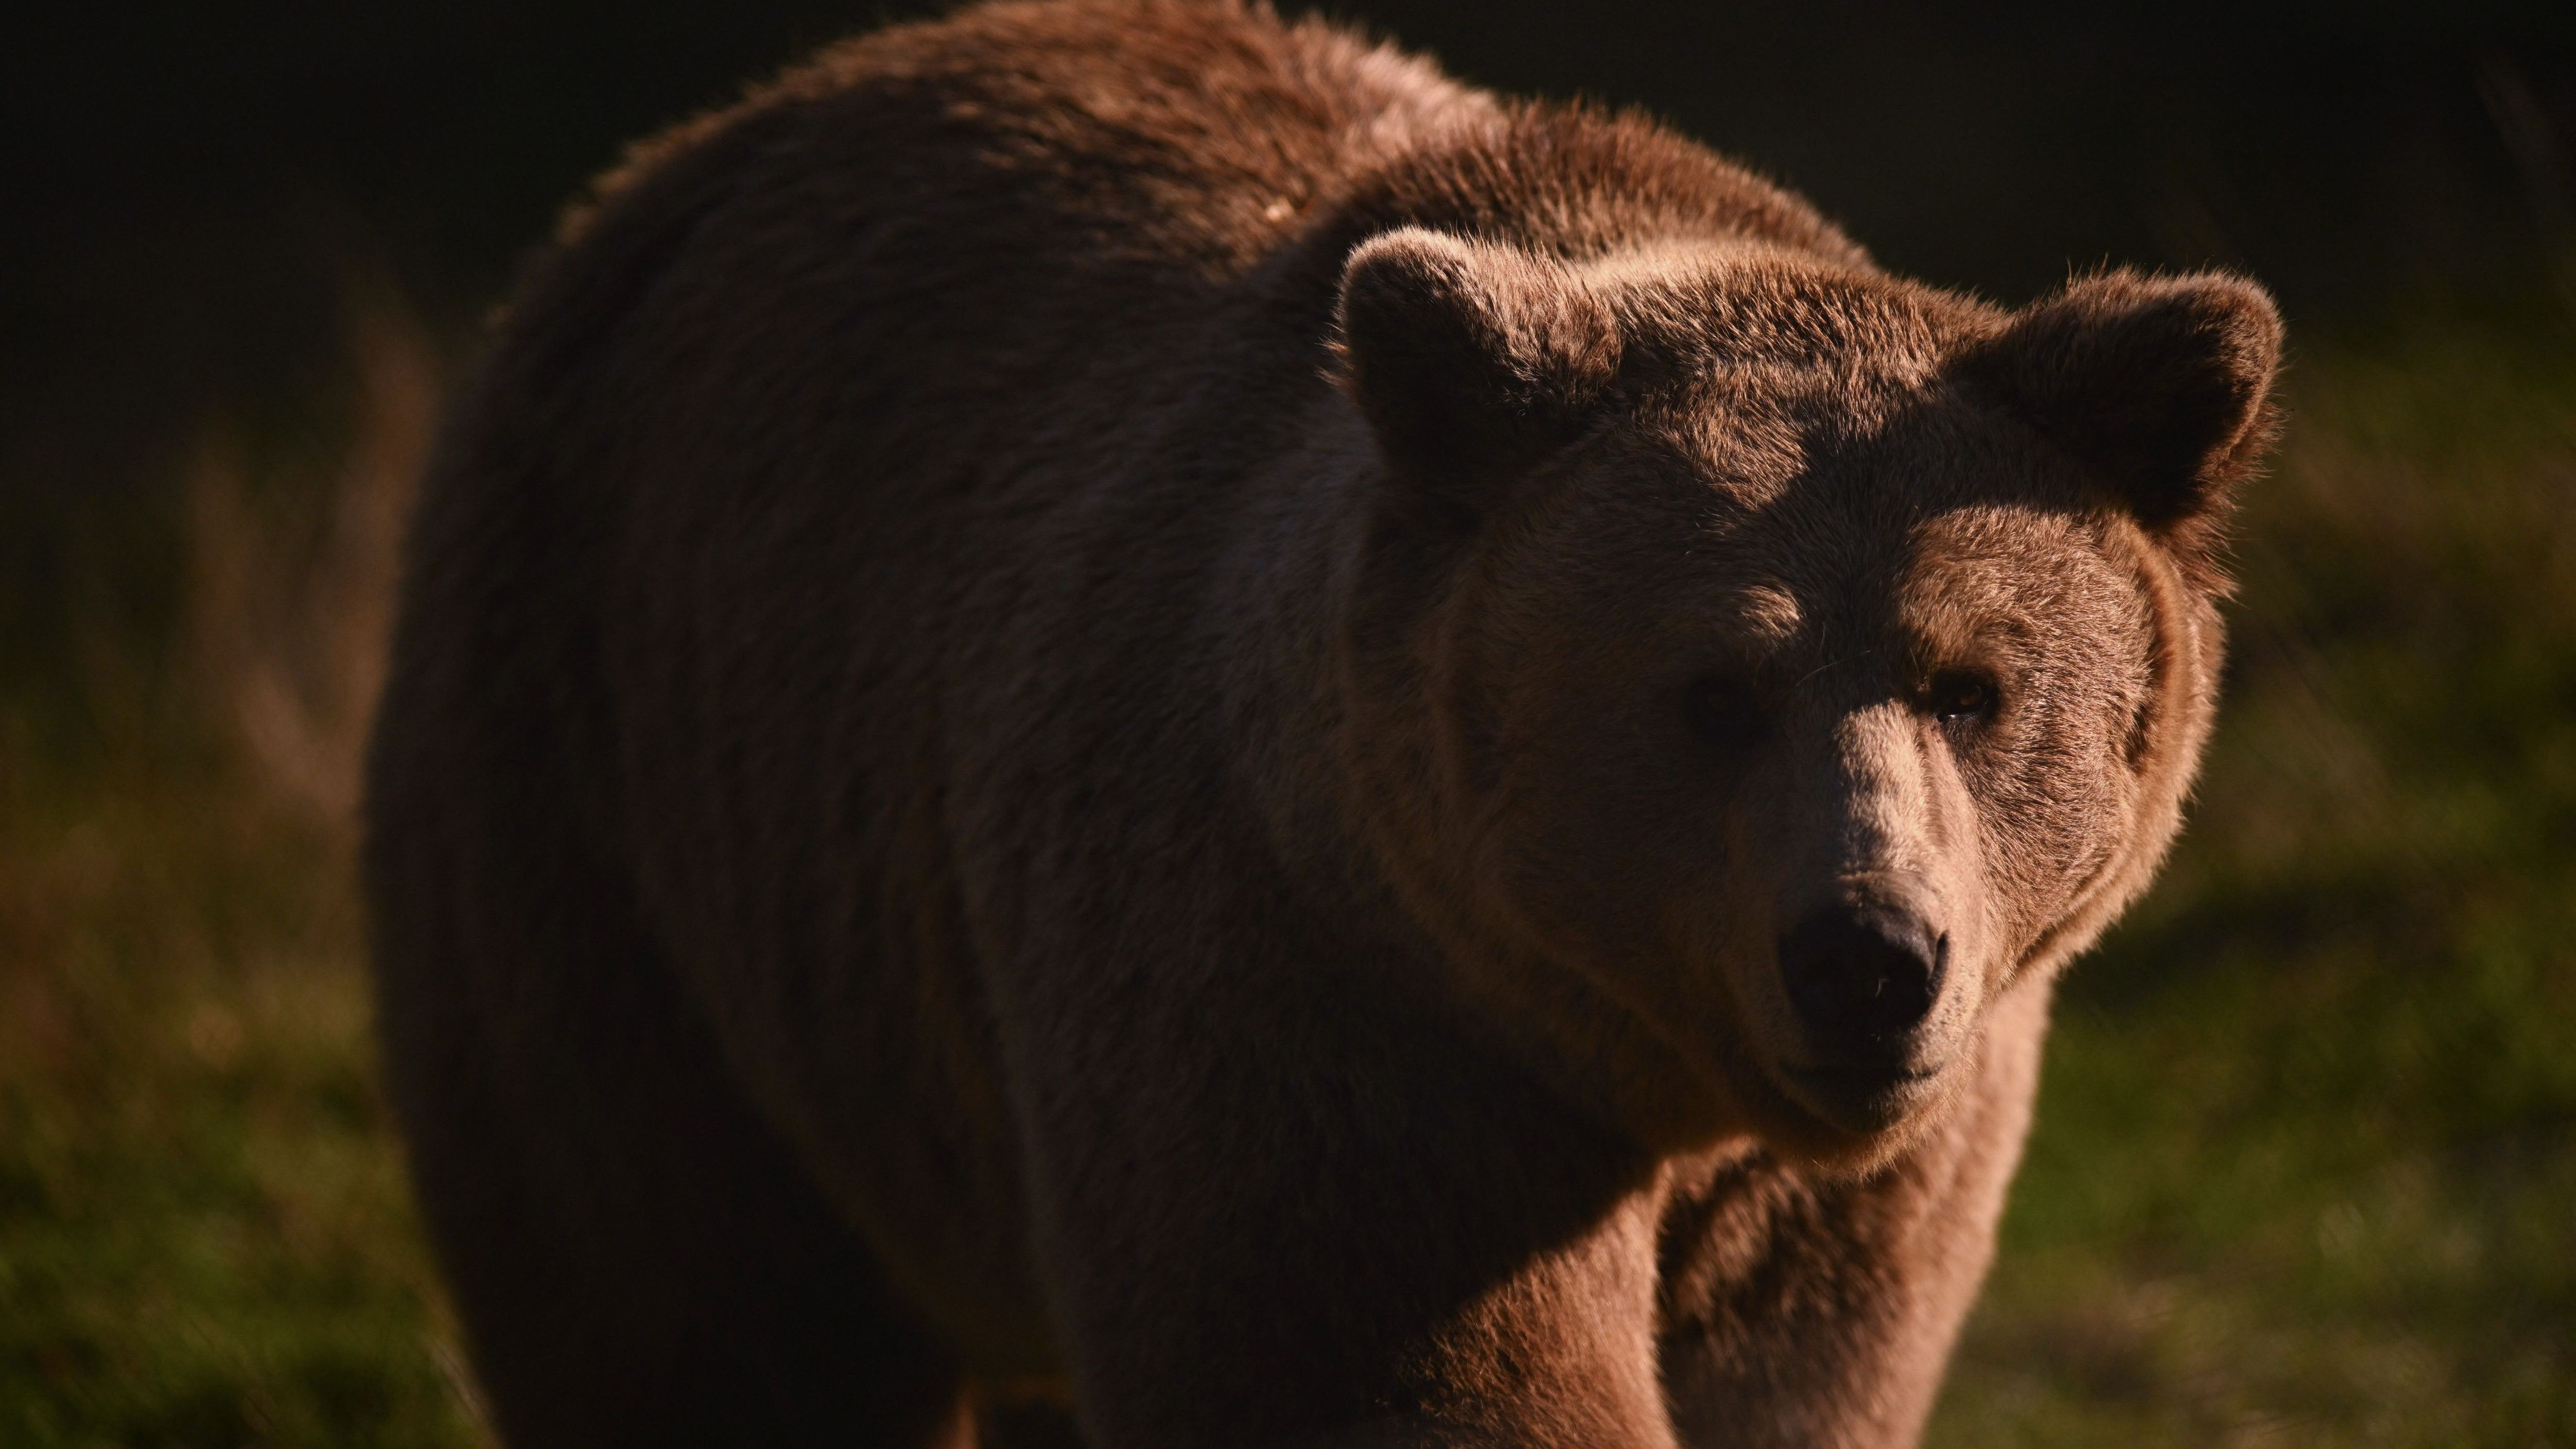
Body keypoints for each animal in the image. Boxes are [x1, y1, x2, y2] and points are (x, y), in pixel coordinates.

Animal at [362, 2, 2282, 1446]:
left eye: (1973, 683)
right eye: (1714, 688)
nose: (1866, 954)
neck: (1661, 1077)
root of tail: (685, 152)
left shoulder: (1870, 1187)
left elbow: (1799, 1378)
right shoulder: (1322, 1010)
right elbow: (1393, 1371)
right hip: (631, 836)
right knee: (693, 1315)